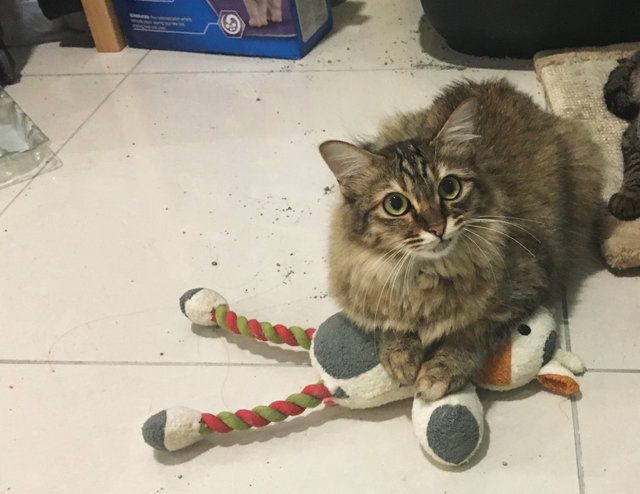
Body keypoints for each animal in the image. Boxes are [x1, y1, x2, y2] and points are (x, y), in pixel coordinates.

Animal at [320, 79, 604, 400]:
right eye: (395, 204)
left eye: (449, 187)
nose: (437, 227)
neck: (427, 275)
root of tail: (497, 83)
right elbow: (389, 324)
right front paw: (401, 358)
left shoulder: (524, 288)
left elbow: (468, 336)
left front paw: (438, 373)